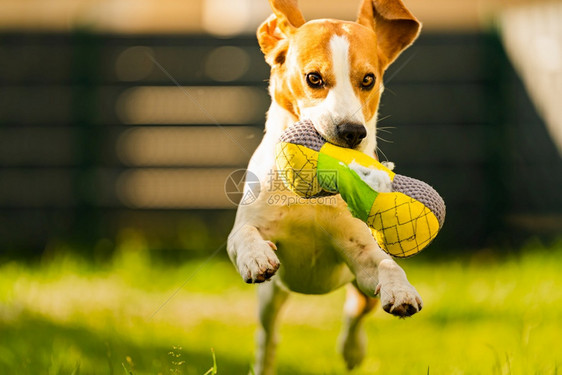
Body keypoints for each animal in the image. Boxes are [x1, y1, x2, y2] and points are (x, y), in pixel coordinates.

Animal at [226, 0, 420, 374]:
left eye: (368, 79)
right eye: (313, 78)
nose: (352, 131)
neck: (313, 194)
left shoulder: (361, 254)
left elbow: (386, 264)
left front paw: (401, 290)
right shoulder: (247, 230)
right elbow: (243, 235)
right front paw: (255, 256)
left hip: (359, 293)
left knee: (354, 314)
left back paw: (352, 351)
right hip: (271, 297)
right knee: (268, 337)